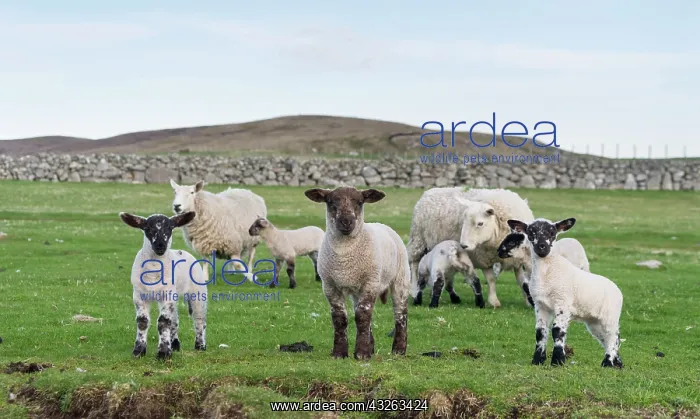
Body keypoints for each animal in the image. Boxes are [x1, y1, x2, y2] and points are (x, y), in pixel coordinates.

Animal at [119, 211, 208, 359]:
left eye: (170, 228)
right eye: (147, 229)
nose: (160, 245)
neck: (153, 271)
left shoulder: (167, 294)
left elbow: (163, 322)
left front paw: (164, 353)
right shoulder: (139, 295)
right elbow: (142, 321)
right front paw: (139, 350)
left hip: (198, 292)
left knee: (199, 319)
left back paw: (200, 346)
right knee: (175, 320)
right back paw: (175, 344)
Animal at [304, 186, 410, 360]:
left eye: (360, 202)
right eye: (330, 202)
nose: (346, 221)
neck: (344, 257)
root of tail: (382, 225)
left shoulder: (370, 282)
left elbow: (362, 316)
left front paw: (361, 353)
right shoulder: (330, 285)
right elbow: (340, 318)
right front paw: (340, 352)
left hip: (400, 279)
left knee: (400, 313)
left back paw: (399, 350)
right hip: (356, 290)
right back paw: (372, 347)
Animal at [406, 187, 535, 308]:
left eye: (480, 223)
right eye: (464, 221)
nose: (463, 245)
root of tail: (430, 191)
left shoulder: (517, 260)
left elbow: (522, 282)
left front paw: (528, 301)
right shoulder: (483, 259)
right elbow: (491, 280)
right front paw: (494, 301)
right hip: (418, 240)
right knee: (414, 264)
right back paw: (414, 291)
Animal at [503, 218, 623, 368]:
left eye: (552, 232)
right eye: (530, 232)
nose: (542, 247)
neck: (547, 272)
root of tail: (617, 289)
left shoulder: (562, 303)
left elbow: (557, 331)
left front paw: (558, 360)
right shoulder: (540, 305)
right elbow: (540, 332)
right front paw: (537, 360)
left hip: (610, 316)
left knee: (613, 336)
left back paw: (608, 362)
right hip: (594, 321)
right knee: (607, 338)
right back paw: (617, 364)